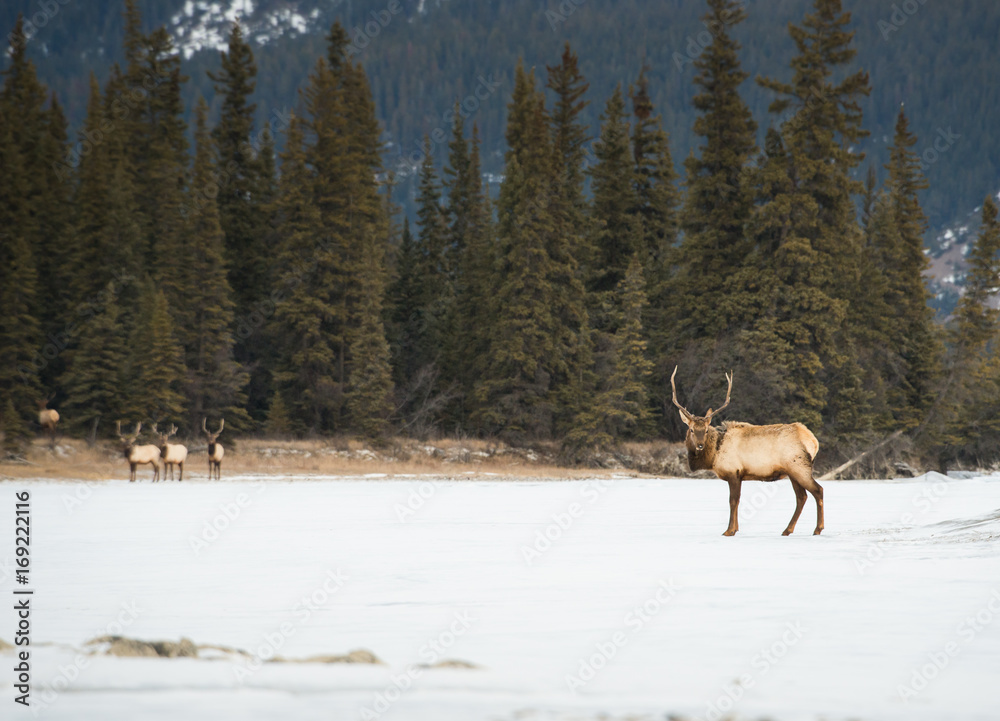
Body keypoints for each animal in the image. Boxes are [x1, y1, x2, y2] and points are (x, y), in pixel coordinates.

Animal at [671, 367, 824, 537]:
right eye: (691, 429)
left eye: (705, 430)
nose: (699, 446)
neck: (714, 455)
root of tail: (813, 441)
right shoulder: (740, 475)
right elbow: (737, 501)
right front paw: (736, 528)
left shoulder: (733, 472)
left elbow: (733, 501)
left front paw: (729, 530)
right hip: (792, 472)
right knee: (801, 496)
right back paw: (787, 530)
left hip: (799, 466)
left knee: (818, 490)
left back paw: (817, 529)